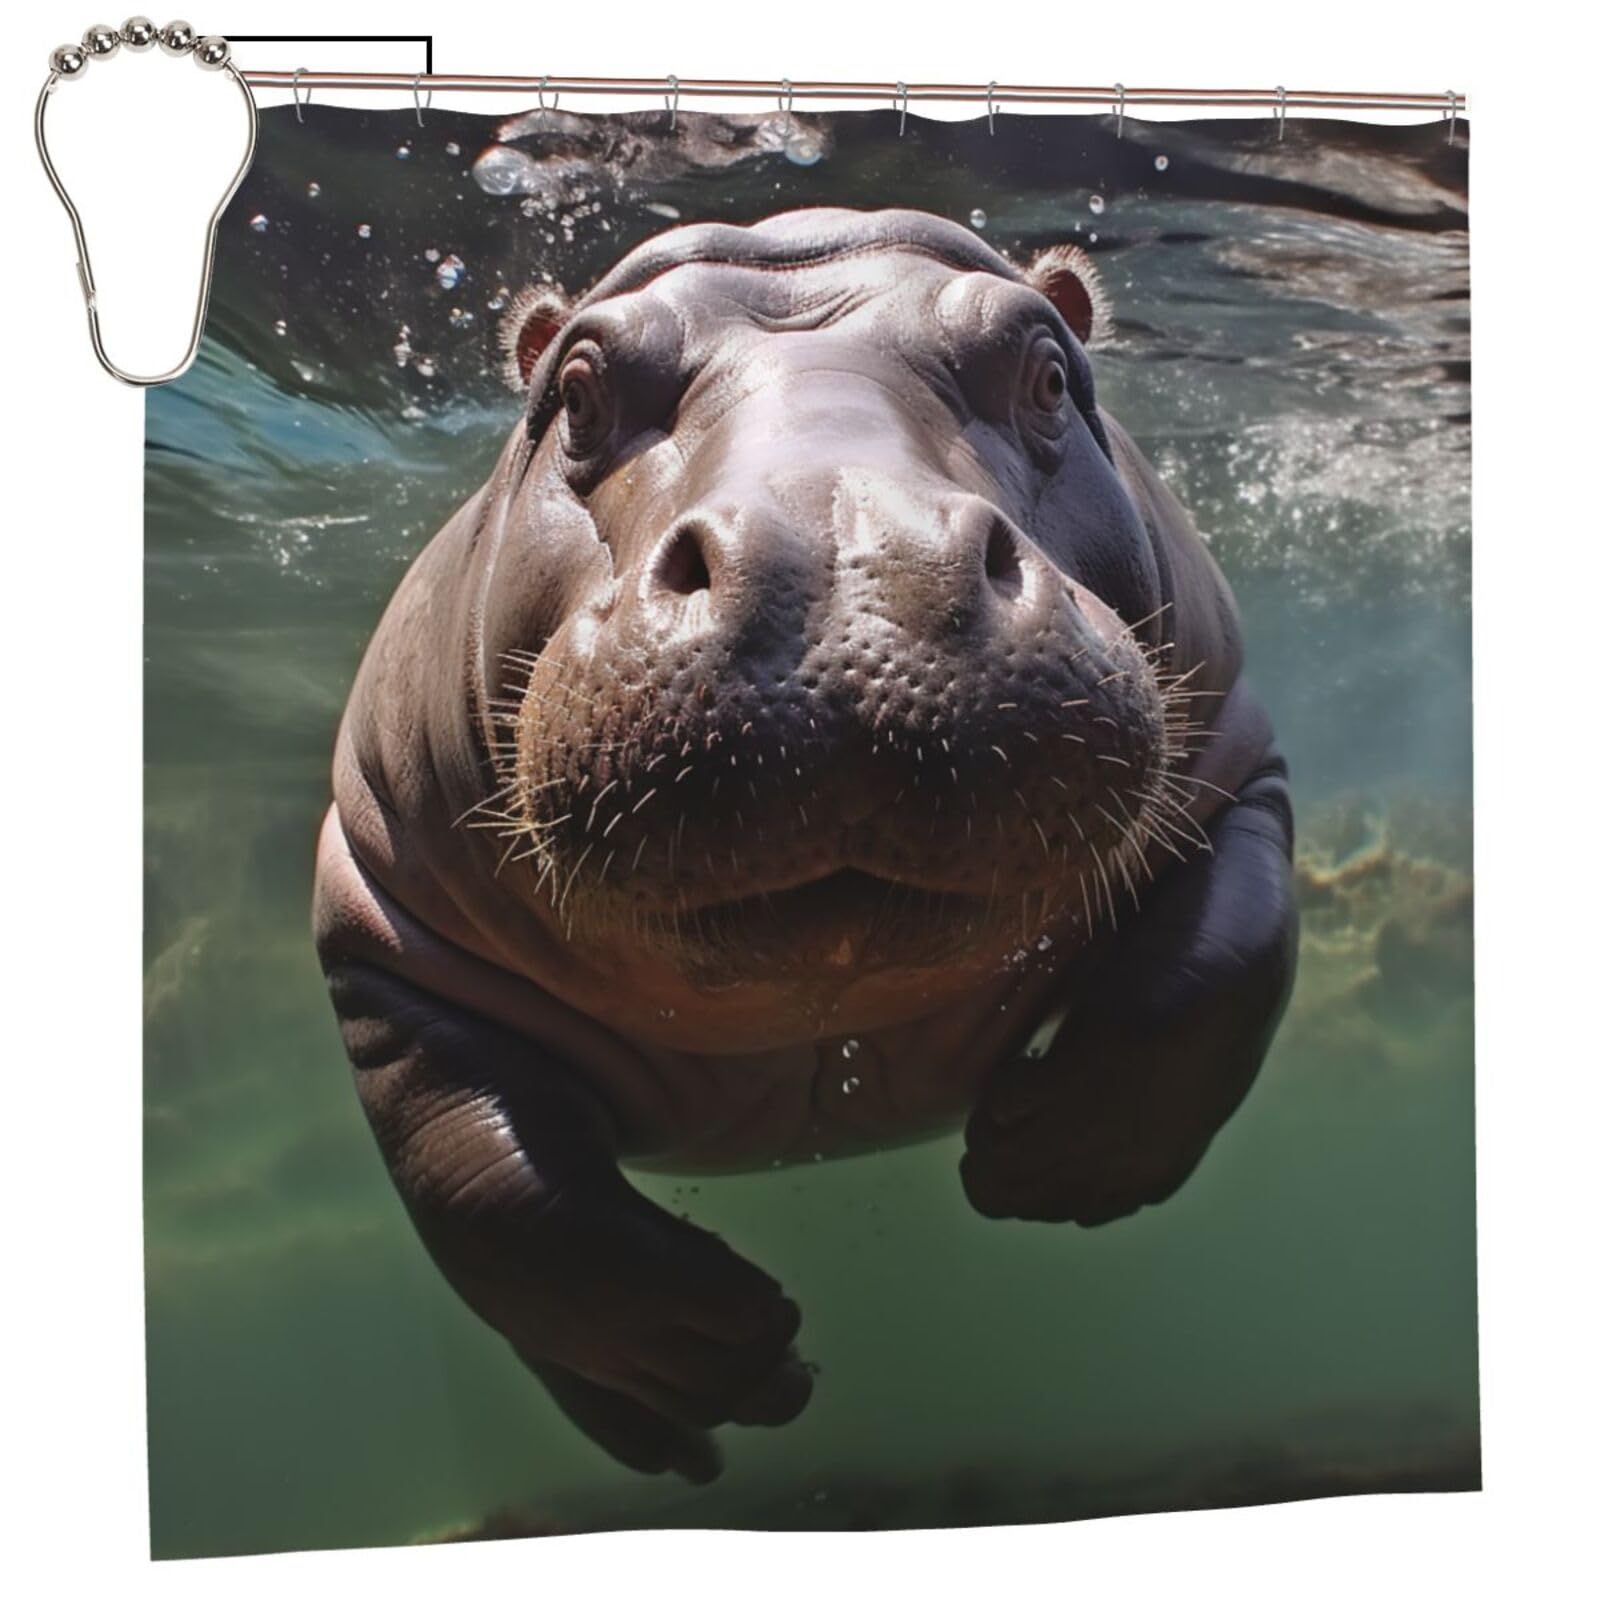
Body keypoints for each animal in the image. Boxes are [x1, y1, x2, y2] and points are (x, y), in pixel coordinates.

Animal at [313, 207, 1297, 1483]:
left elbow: (1216, 970)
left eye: (1045, 371)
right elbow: (485, 1180)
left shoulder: (1237, 769)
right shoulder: (380, 908)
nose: (840, 557)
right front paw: (721, 1349)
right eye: (575, 391)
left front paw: (1046, 1162)